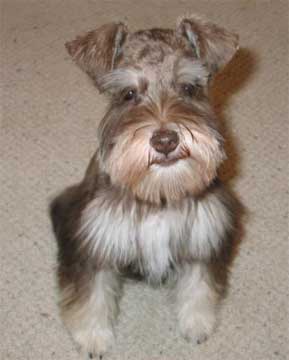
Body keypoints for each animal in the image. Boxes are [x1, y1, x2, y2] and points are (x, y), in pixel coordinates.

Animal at [49, 13, 238, 358]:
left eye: (189, 88)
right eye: (128, 94)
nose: (165, 140)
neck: (159, 193)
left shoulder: (204, 233)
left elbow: (200, 284)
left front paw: (197, 323)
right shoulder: (96, 242)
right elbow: (91, 294)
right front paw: (93, 337)